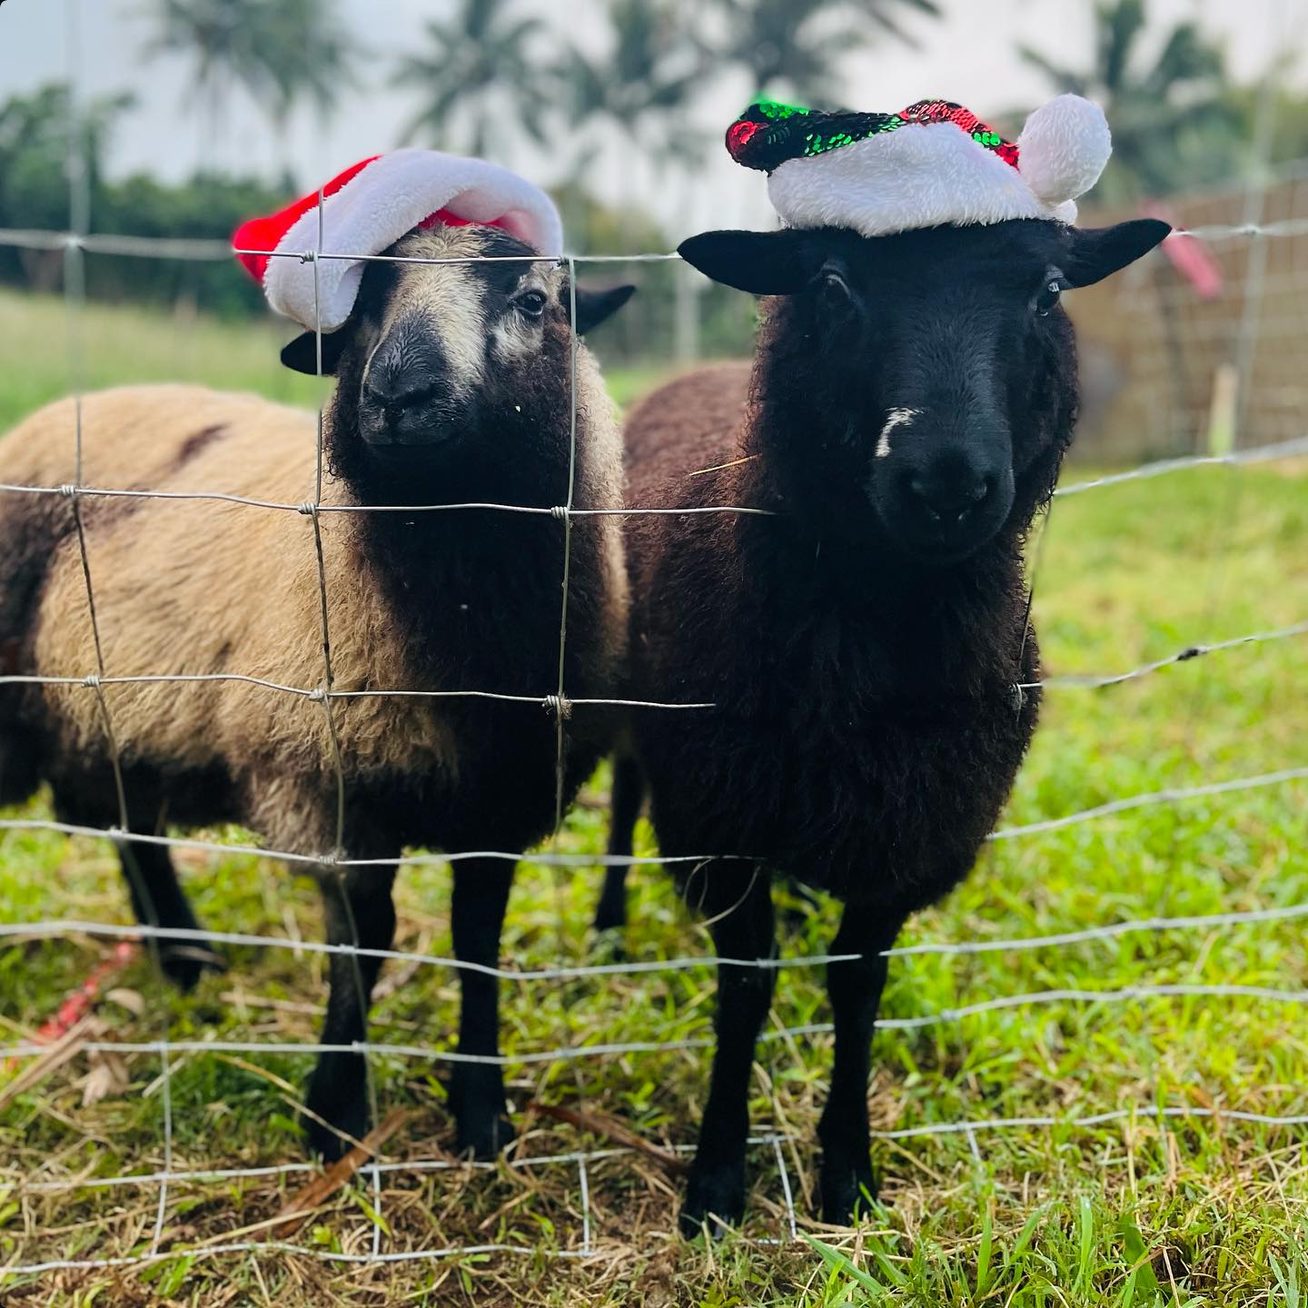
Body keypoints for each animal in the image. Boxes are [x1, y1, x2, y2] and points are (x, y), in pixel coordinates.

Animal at [0, 222, 634, 1161]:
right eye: (363, 307)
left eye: (533, 301)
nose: (399, 393)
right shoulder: (315, 782)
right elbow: (366, 942)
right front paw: (334, 1111)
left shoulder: (504, 794)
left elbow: (475, 939)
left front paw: (482, 1110)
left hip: (109, 714)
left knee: (129, 828)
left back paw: (186, 959)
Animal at [609, 215, 1169, 1232]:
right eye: (834, 283)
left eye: (1049, 292)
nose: (945, 481)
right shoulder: (719, 818)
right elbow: (746, 986)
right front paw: (716, 1180)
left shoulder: (909, 830)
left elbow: (857, 984)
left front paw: (846, 1174)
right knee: (627, 799)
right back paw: (606, 927)